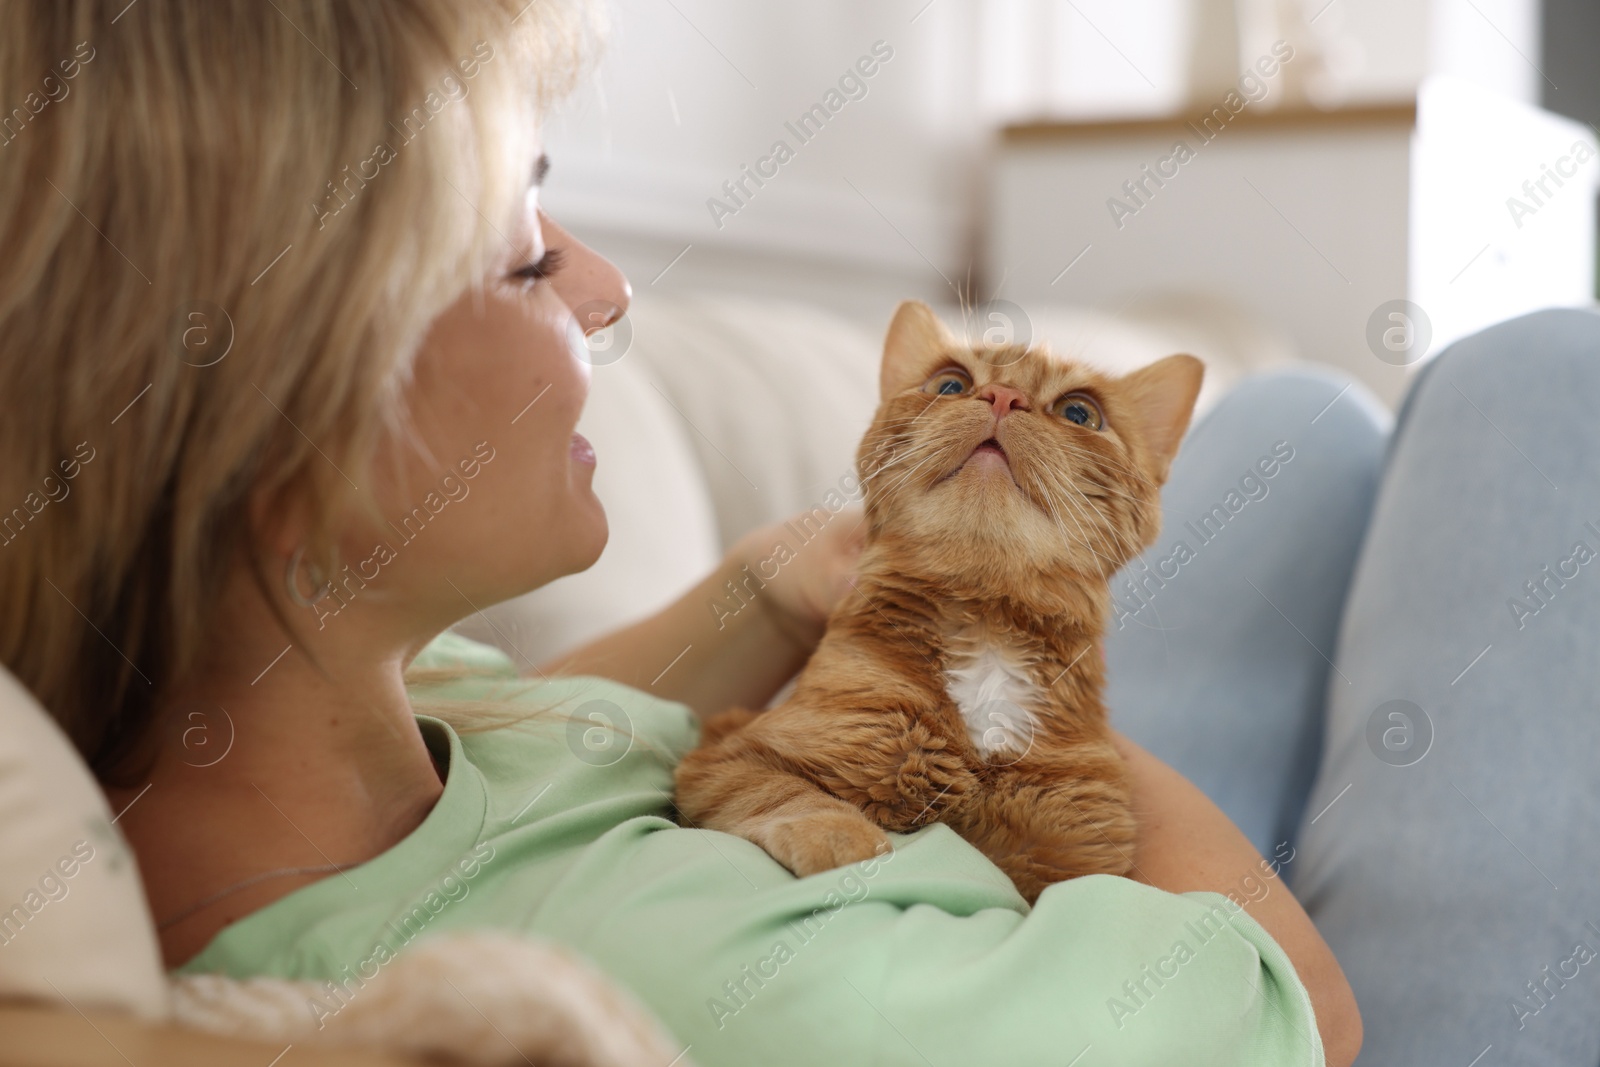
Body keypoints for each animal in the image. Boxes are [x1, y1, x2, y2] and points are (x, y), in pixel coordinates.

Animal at [672, 299, 1203, 902]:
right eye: (951, 384)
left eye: (1079, 413)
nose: (1002, 396)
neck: (987, 629)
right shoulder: (727, 753)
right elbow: (789, 794)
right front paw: (842, 839)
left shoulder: (1077, 855)